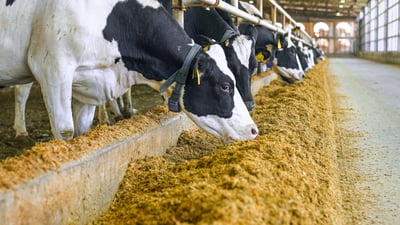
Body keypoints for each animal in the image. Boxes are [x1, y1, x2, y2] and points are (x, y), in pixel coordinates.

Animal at [0, 0, 258, 142]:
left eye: (254, 65)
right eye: (225, 86)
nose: (254, 129)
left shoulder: (89, 84)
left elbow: (81, 131)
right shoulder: (52, 66)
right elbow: (65, 132)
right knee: (22, 90)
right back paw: (21, 130)